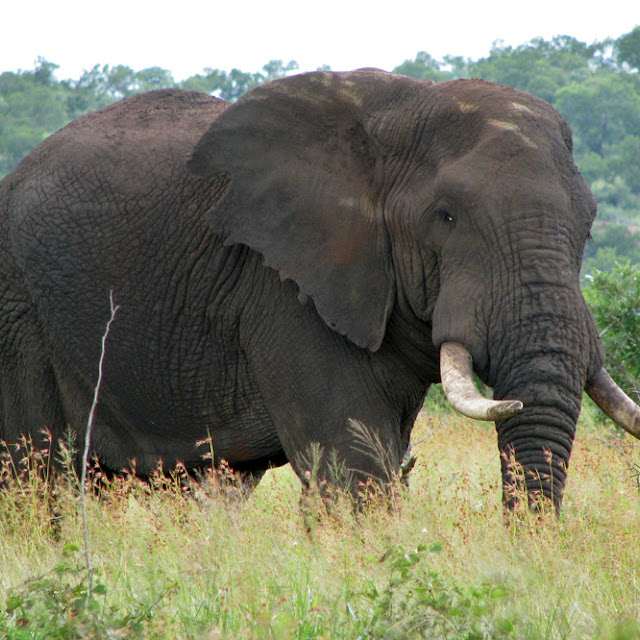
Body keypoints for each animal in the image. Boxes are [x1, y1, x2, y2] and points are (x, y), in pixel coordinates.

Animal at [1, 69, 640, 516]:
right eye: (446, 217)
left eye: (591, 224)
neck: (398, 117)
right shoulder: (284, 289)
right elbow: (354, 467)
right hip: (19, 305)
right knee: (36, 475)